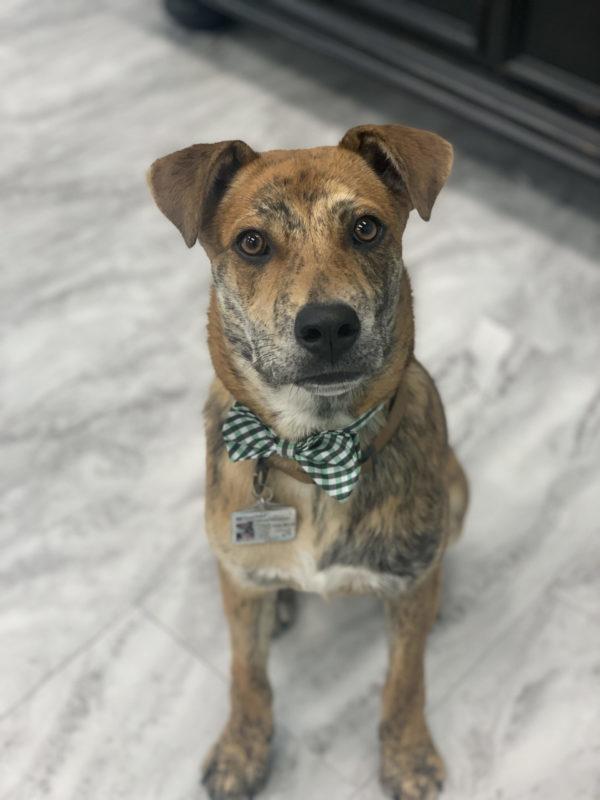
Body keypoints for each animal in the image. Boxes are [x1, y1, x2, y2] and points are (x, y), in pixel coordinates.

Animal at [149, 125, 468, 800]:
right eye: (251, 243)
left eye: (367, 228)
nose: (327, 327)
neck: (317, 450)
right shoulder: (238, 584)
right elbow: (247, 675)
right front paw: (241, 751)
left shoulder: (407, 589)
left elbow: (405, 682)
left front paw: (408, 757)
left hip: (458, 489)